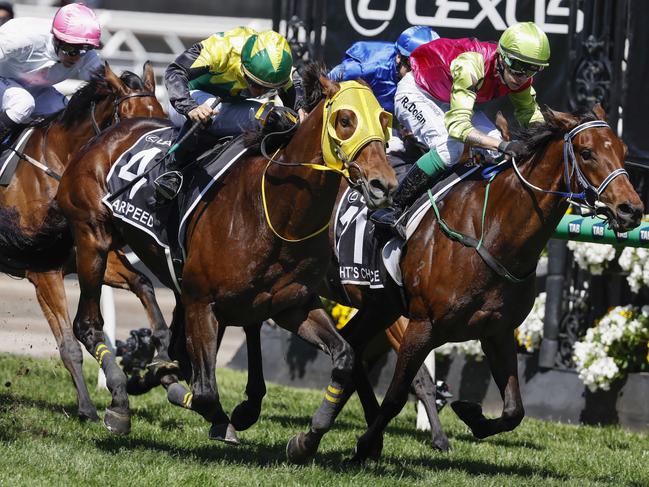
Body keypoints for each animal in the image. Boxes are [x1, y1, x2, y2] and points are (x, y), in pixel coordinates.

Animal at [0, 63, 167, 422]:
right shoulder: (44, 270)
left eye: (162, 116)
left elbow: (143, 283)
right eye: (128, 119)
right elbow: (69, 345)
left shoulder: (90, 252)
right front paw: (89, 407)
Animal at [57, 63, 400, 460]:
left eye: (384, 119)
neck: (276, 212)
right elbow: (205, 392)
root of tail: (107, 134)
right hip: (92, 238)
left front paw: (306, 439)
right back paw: (120, 403)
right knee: (87, 324)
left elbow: (345, 358)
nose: (384, 184)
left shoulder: (292, 306)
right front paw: (205, 406)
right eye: (345, 119)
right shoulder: (201, 301)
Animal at [322, 104, 640, 462]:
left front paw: (471, 414)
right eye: (587, 153)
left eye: (623, 151)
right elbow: (397, 395)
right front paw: (365, 445)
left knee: (351, 347)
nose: (631, 209)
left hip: (377, 308)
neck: (489, 230)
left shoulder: (497, 330)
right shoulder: (420, 324)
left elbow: (514, 411)